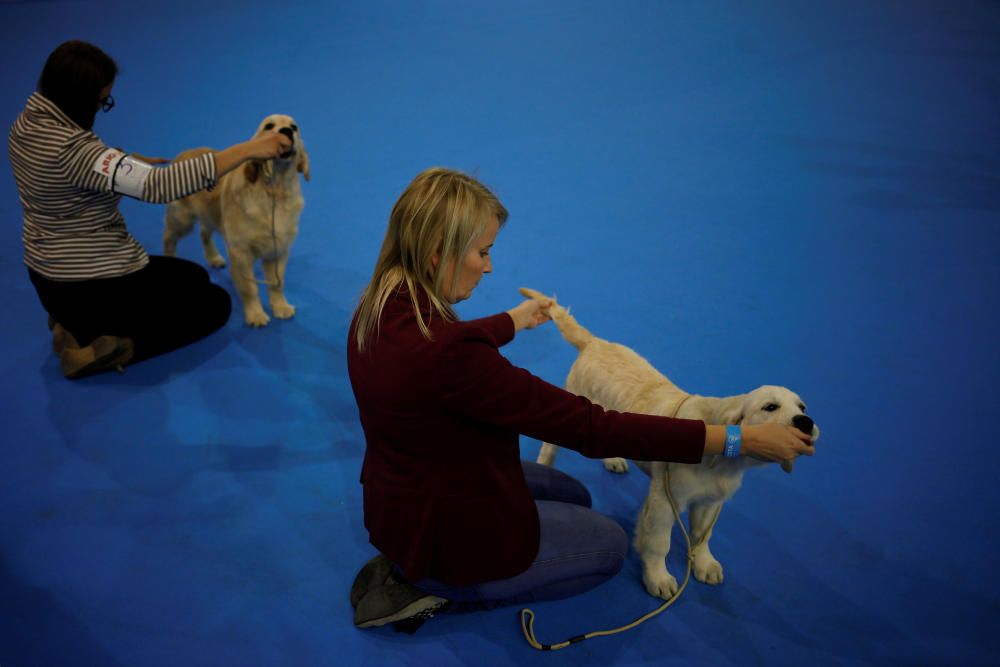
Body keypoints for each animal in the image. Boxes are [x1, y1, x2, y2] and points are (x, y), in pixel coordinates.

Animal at [162, 115, 310, 328]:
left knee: (204, 233)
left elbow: (277, 282)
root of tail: (182, 155)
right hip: (182, 219)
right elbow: (250, 288)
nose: (287, 132)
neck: (274, 191)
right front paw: (256, 314)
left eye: (294, 127)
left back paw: (214, 258)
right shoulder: (241, 253)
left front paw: (280, 307)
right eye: (269, 126)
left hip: (209, 216)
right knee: (168, 238)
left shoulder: (278, 249)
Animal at [516, 288, 820, 600]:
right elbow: (659, 542)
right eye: (770, 407)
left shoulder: (710, 501)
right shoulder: (665, 500)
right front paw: (658, 577)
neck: (722, 461)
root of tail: (595, 342)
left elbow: (703, 536)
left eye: (802, 407)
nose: (805, 422)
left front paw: (705, 563)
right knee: (549, 447)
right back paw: (546, 467)